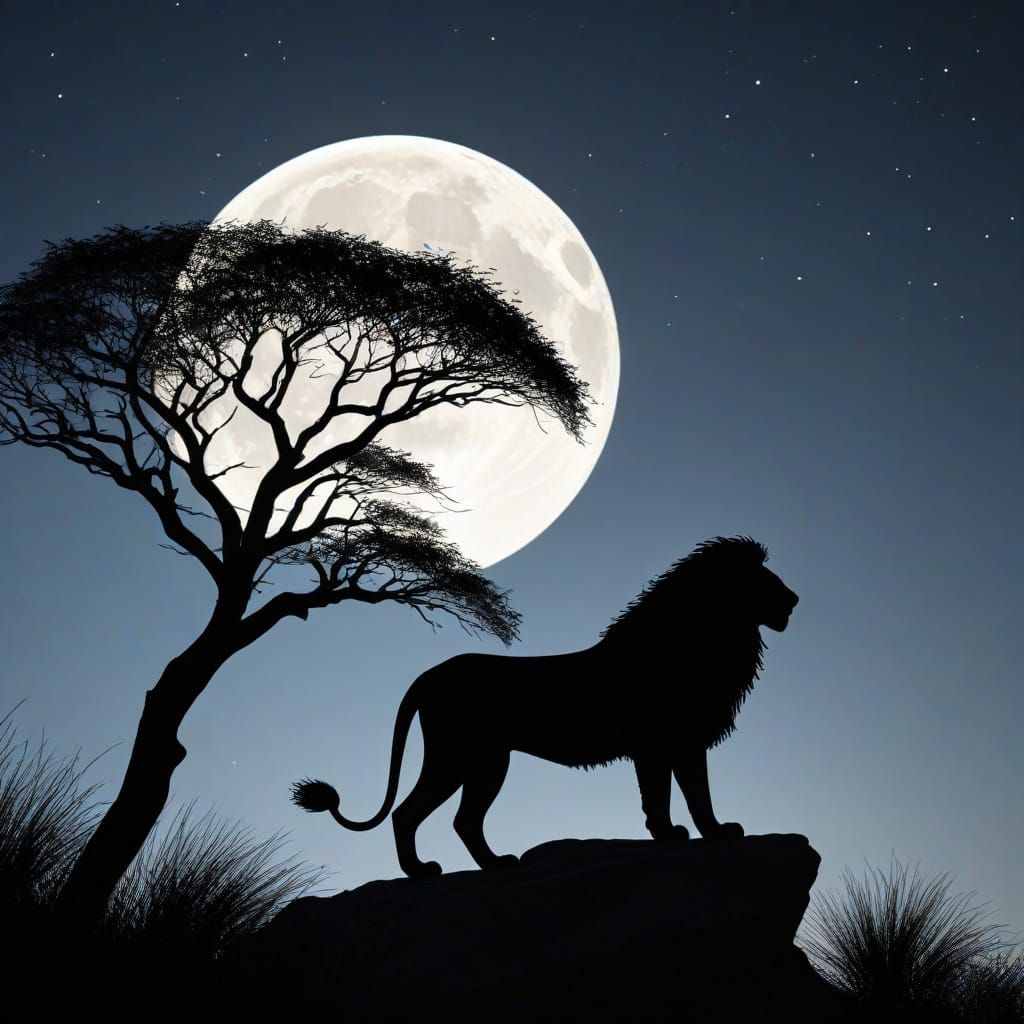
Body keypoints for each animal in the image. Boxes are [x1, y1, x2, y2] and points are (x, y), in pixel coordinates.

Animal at [292, 535, 798, 877]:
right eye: (759, 577)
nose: (794, 599)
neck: (705, 636)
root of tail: (431, 673)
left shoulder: (664, 745)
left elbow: (669, 795)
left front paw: (673, 832)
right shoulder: (673, 741)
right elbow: (690, 795)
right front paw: (707, 832)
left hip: (485, 761)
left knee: (463, 820)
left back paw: (495, 864)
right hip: (459, 756)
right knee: (409, 812)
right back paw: (421, 871)